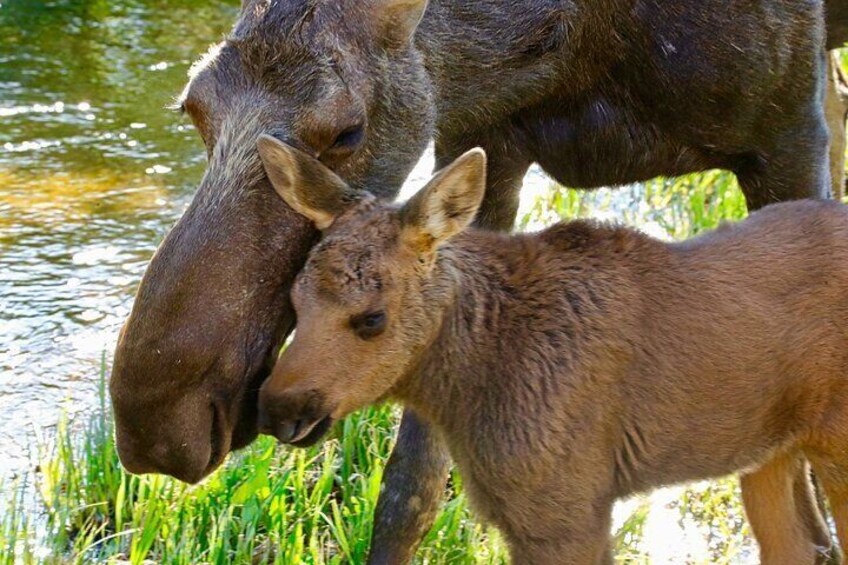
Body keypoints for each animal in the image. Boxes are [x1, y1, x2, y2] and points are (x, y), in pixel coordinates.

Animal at [256, 134, 848, 560]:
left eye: (372, 318)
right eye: (293, 301)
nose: (277, 410)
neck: (465, 389)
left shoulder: (567, 510)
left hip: (832, 440)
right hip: (768, 447)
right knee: (801, 546)